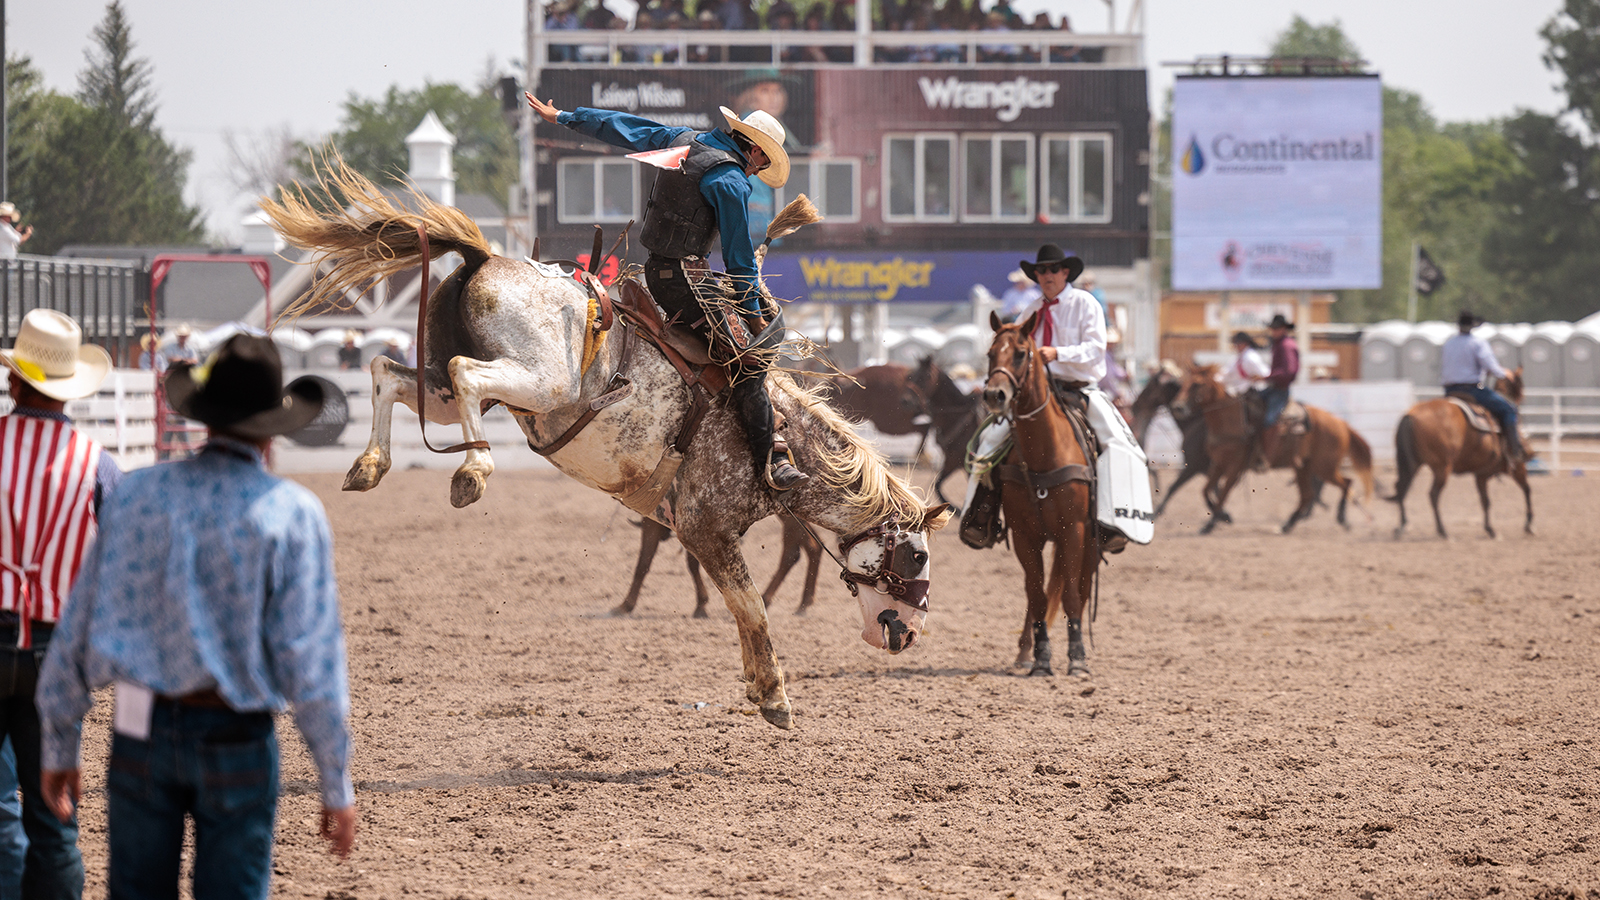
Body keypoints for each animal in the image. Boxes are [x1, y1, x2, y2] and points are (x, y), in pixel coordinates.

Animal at [256, 160, 940, 723]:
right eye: (917, 557)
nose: (908, 635)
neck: (777, 437)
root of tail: (484, 259)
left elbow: (740, 607)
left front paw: (755, 685)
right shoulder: (704, 526)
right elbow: (750, 605)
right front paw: (774, 696)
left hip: (450, 394)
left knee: (387, 373)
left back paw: (369, 465)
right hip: (537, 380)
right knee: (464, 374)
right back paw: (471, 472)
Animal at [972, 307, 1100, 672]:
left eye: (1020, 353)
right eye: (990, 353)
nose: (995, 395)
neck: (1045, 454)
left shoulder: (1074, 531)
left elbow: (1070, 595)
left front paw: (1077, 657)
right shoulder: (1024, 535)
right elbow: (1037, 594)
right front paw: (1042, 656)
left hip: (1090, 542)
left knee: (1082, 589)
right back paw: (1025, 651)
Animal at [1164, 365, 1376, 531]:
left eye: (1197, 384)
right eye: (1182, 382)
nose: (1178, 407)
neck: (1230, 420)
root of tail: (1341, 423)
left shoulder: (1234, 466)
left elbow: (1223, 493)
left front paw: (1212, 523)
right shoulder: (1218, 464)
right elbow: (1206, 490)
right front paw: (1222, 517)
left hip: (1324, 467)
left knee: (1346, 483)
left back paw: (1342, 519)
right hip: (1304, 467)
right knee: (1308, 495)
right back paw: (1288, 524)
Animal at [1388, 366, 1536, 534]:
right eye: (1520, 384)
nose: (1522, 398)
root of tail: (1410, 415)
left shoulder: (1481, 475)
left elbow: (1485, 500)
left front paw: (1489, 528)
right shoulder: (1518, 467)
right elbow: (1527, 489)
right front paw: (1529, 524)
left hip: (1413, 464)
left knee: (1401, 487)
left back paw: (1402, 525)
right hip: (1441, 468)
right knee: (1433, 494)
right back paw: (1442, 530)